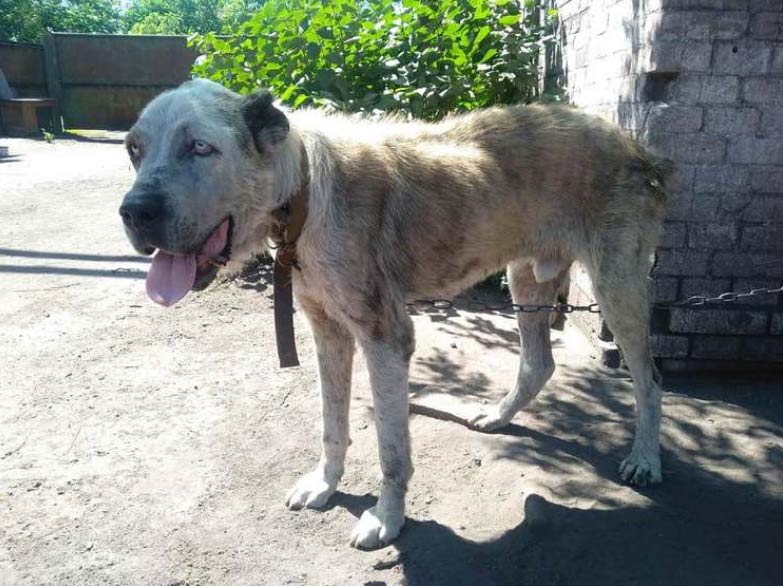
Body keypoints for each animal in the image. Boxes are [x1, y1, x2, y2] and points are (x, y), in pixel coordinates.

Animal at [119, 77, 672, 548]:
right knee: (539, 362)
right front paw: (325, 485)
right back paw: (498, 415)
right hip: (528, 279)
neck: (303, 192)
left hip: (616, 288)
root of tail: (634, 144)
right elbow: (332, 424)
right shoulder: (328, 332)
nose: (132, 213)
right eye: (134, 150)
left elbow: (390, 448)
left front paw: (387, 519)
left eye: (200, 147)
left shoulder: (386, 338)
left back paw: (645, 458)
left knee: (649, 379)